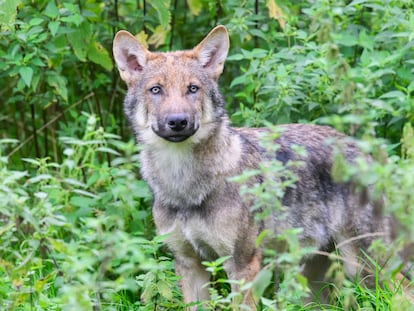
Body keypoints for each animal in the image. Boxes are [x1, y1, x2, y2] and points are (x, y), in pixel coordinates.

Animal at [111, 25, 396, 308]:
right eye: (156, 90)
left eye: (192, 89)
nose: (178, 121)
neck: (184, 186)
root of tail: (363, 150)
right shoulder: (189, 264)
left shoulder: (242, 265)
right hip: (313, 284)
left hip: (364, 268)